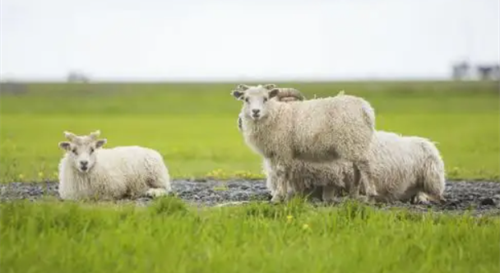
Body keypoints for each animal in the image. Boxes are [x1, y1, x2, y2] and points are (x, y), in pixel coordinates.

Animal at [233, 83, 378, 202]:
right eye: (246, 99)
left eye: (265, 99)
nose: (255, 112)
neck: (276, 114)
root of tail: (366, 108)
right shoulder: (278, 153)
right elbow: (284, 174)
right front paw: (286, 195)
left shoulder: (282, 149)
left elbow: (280, 172)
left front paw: (277, 197)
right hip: (354, 143)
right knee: (357, 168)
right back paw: (354, 194)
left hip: (354, 140)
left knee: (364, 166)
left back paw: (371, 195)